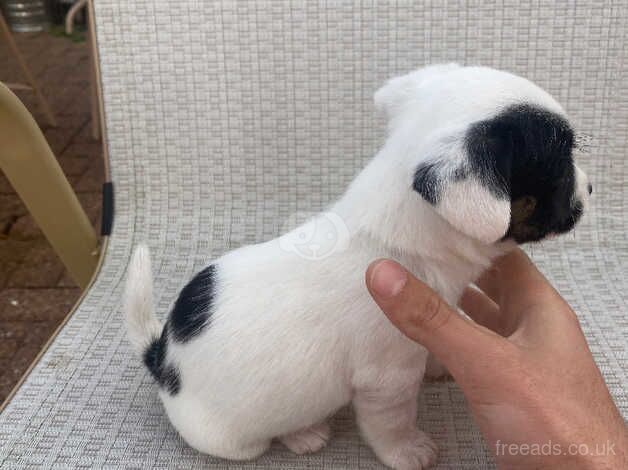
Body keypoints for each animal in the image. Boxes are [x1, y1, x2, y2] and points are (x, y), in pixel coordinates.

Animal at [126, 64, 588, 468]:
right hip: (234, 440)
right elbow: (391, 425)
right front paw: (408, 451)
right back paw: (304, 434)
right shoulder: (387, 381)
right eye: (561, 167)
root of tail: (161, 355)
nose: (592, 186)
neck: (392, 237)